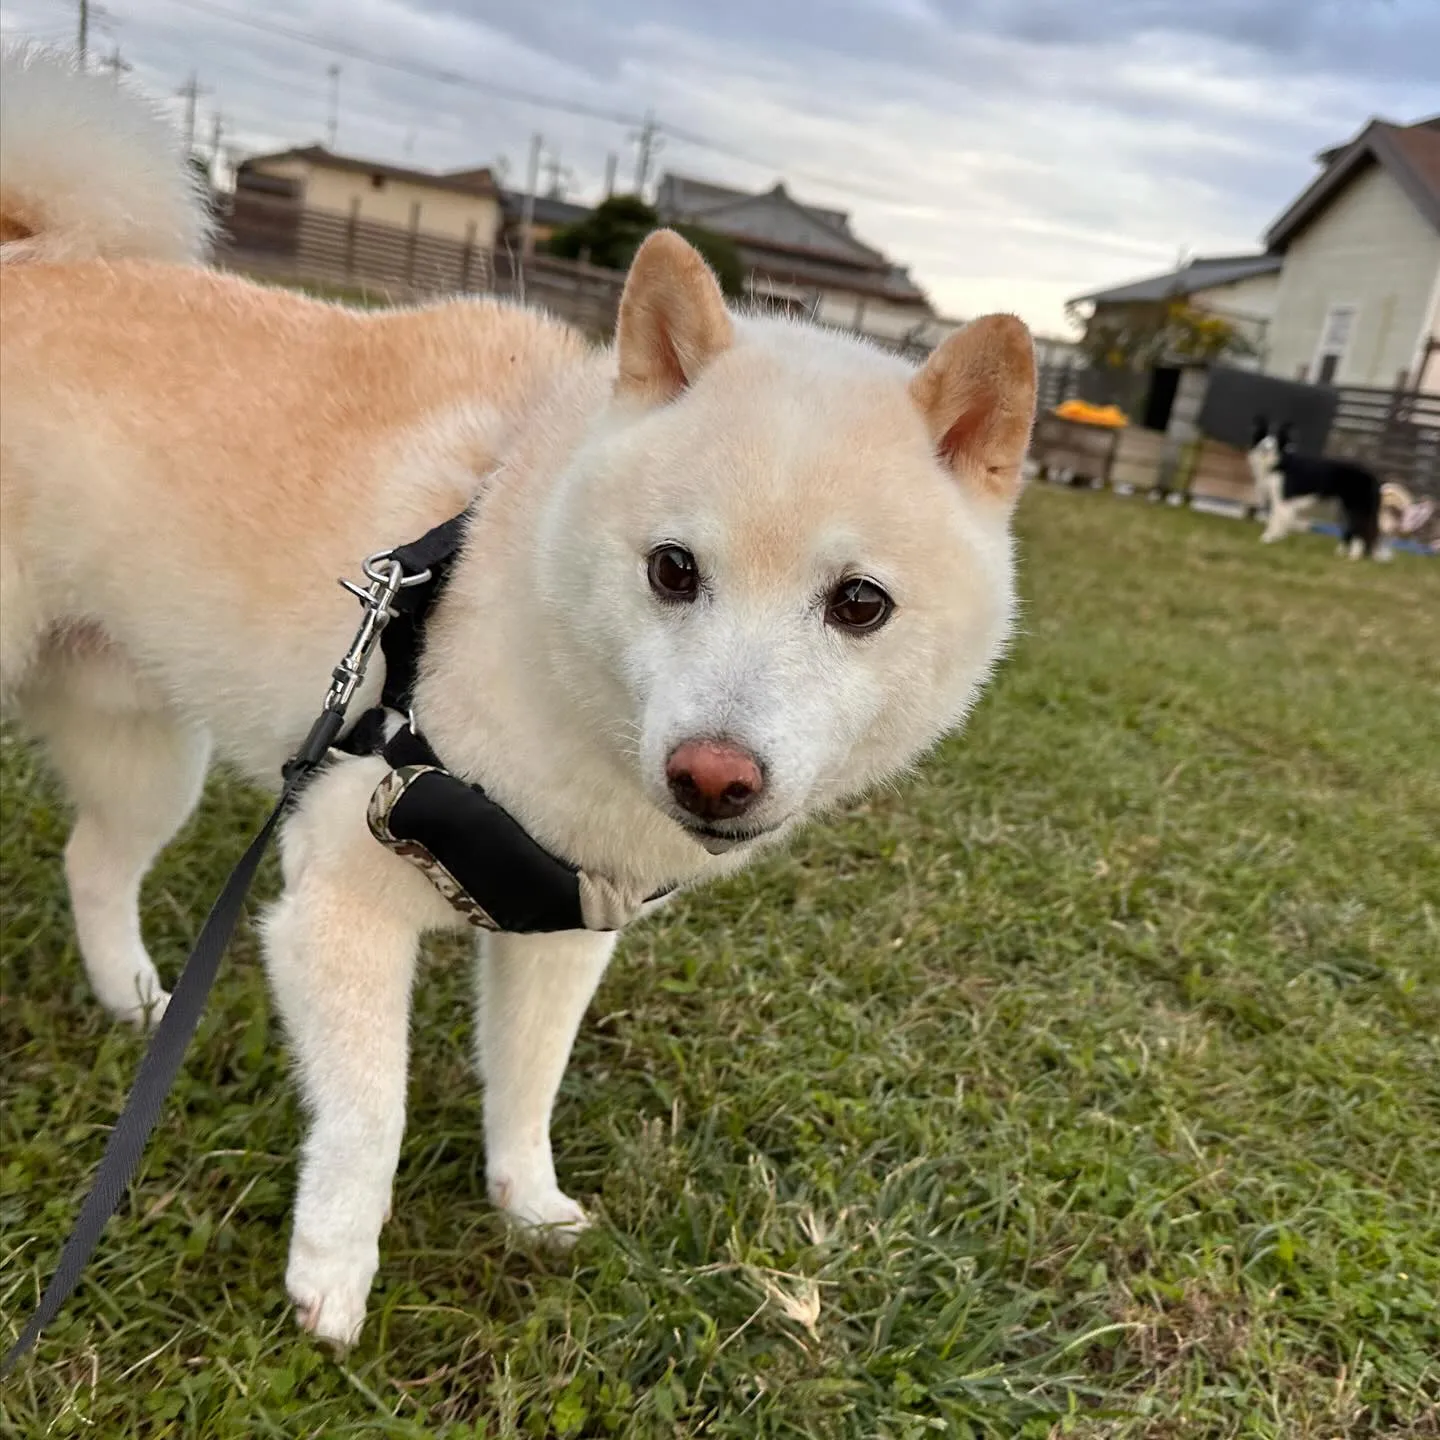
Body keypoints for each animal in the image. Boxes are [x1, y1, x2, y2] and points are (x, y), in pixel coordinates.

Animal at [0, 47, 1036, 1347]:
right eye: (673, 570)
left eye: (860, 603)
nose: (714, 773)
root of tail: (33, 259)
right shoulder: (338, 896)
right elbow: (373, 1117)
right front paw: (333, 1276)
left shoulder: (562, 928)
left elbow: (528, 1085)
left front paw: (528, 1208)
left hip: (146, 748)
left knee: (94, 862)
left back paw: (136, 999)